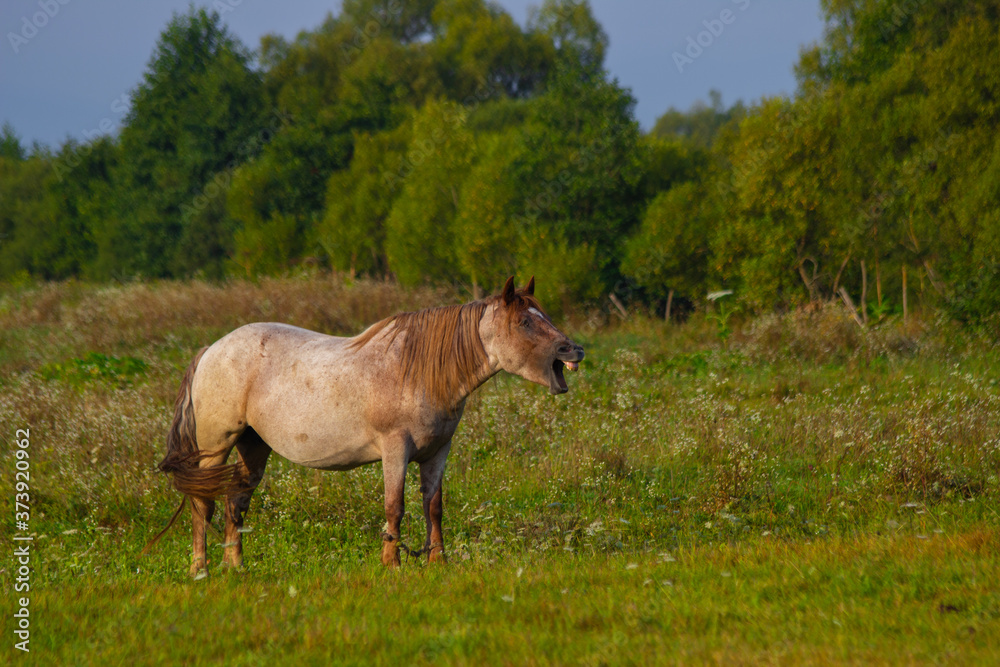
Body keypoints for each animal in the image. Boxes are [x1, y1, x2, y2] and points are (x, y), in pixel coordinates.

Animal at [149, 276, 584, 575]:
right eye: (525, 321)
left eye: (543, 316)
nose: (574, 350)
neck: (418, 371)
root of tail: (212, 349)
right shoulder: (395, 449)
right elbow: (395, 506)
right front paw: (392, 562)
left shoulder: (437, 453)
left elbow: (434, 507)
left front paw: (438, 561)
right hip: (216, 446)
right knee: (203, 504)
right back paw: (201, 569)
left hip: (253, 447)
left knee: (235, 502)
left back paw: (236, 567)